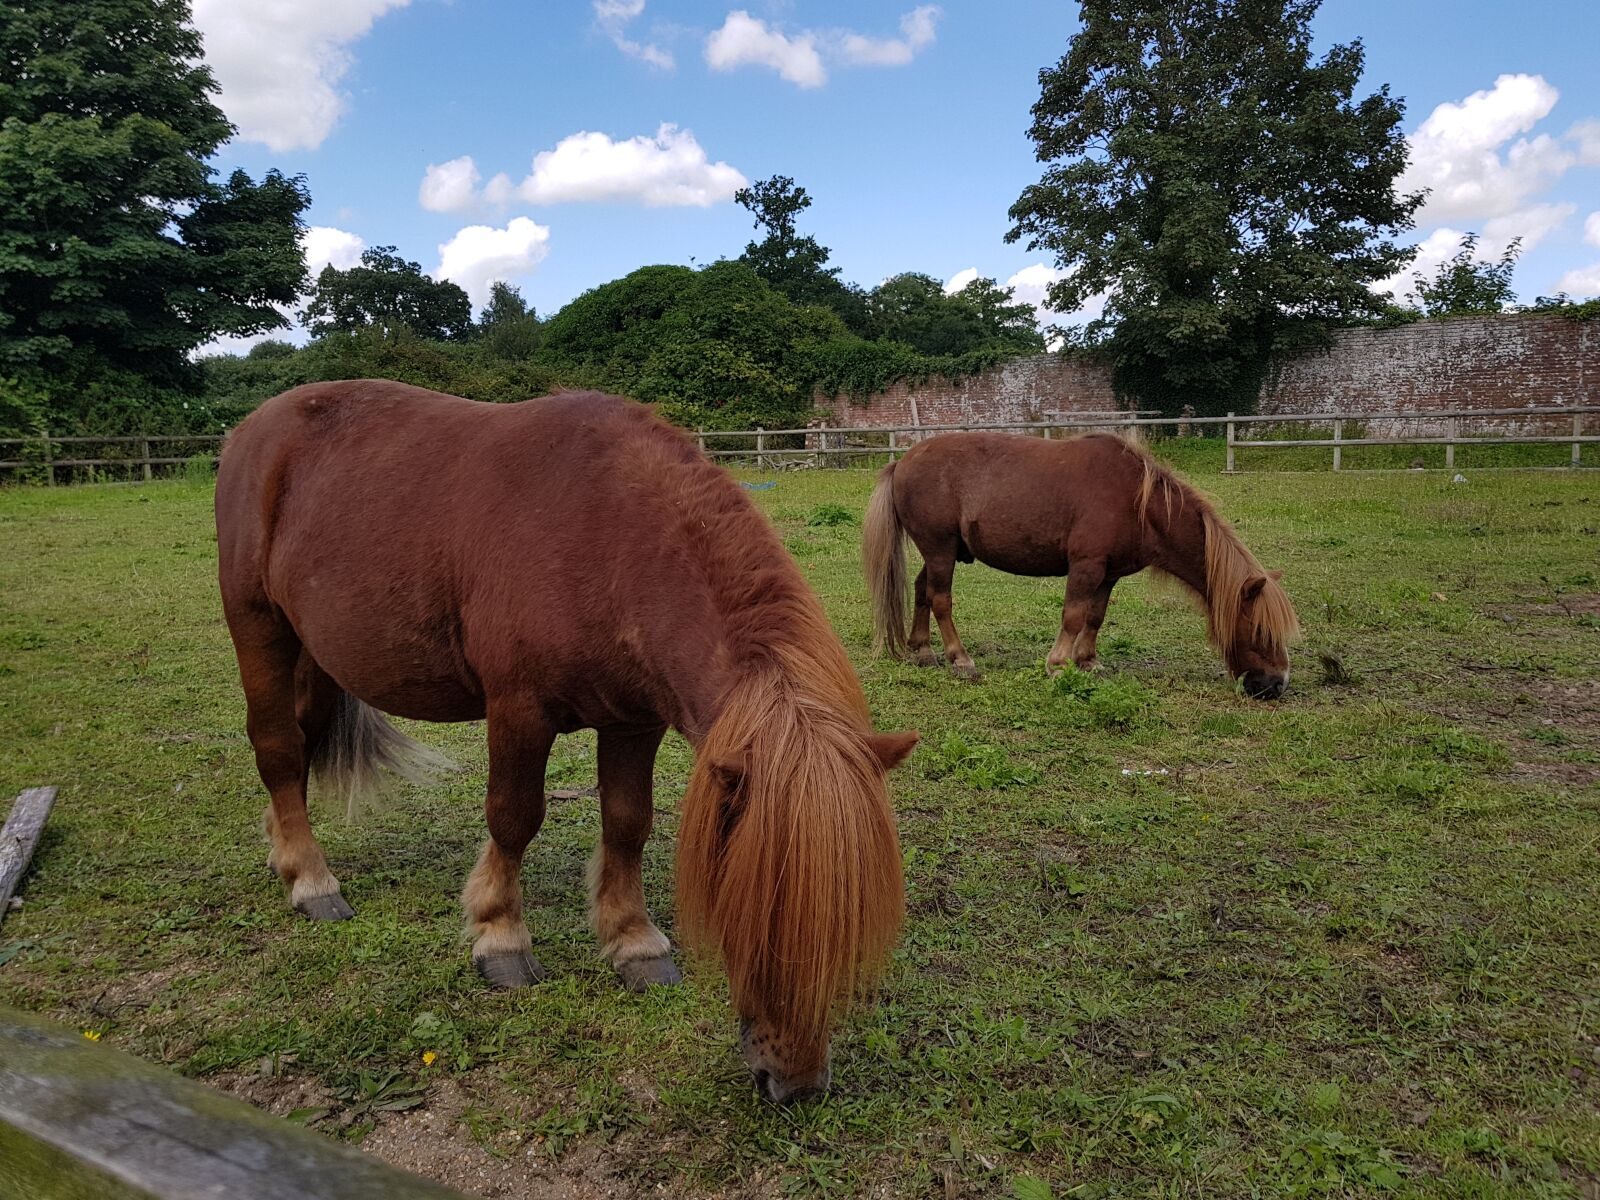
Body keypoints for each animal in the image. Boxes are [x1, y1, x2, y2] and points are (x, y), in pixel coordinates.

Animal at [215, 380, 917, 1104]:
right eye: (758, 909)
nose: (797, 1084)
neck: (608, 533)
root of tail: (254, 430)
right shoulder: (518, 710)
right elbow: (514, 818)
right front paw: (501, 937)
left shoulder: (634, 722)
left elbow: (628, 823)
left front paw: (634, 942)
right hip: (259, 627)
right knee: (277, 746)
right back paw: (310, 879)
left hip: (318, 652)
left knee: (301, 743)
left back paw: (283, 849)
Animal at [862, 431, 1298, 698]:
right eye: (1260, 631)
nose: (1276, 684)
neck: (1139, 504)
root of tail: (902, 463)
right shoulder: (1086, 566)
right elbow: (1072, 616)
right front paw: (1058, 664)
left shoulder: (1108, 574)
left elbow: (1095, 616)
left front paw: (1088, 661)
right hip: (940, 550)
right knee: (941, 600)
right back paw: (960, 659)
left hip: (941, 552)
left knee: (922, 591)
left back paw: (922, 651)